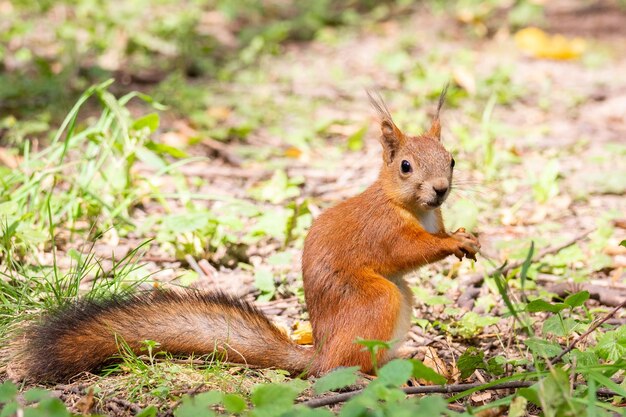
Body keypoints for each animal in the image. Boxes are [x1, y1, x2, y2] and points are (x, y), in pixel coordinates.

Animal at [7, 88, 478, 380]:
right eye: (405, 167)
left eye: (452, 159)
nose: (440, 190)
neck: (413, 208)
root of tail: (321, 354)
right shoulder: (383, 230)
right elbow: (407, 250)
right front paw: (456, 241)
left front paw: (465, 237)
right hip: (376, 300)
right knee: (352, 365)